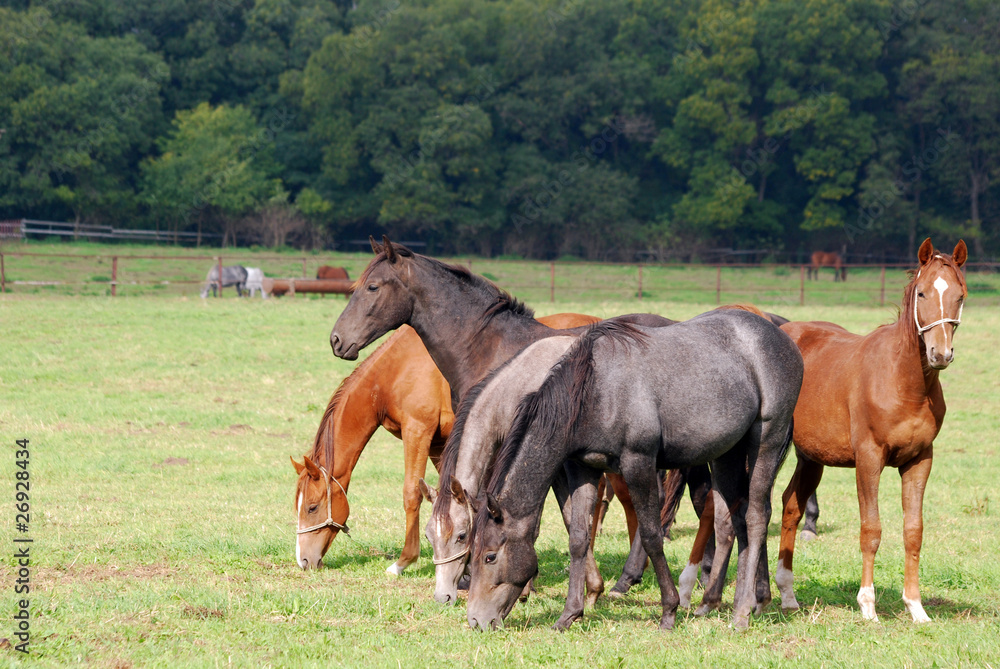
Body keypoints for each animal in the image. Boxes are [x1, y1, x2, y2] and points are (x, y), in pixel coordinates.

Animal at [466, 310, 804, 628]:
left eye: (490, 556)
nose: (476, 621)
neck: (595, 391)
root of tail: (782, 338)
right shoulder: (583, 469)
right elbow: (578, 538)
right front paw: (569, 614)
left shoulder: (637, 463)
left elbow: (652, 535)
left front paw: (669, 610)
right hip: (726, 455)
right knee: (734, 519)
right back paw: (728, 602)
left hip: (766, 443)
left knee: (757, 516)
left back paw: (742, 612)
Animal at [780, 239, 968, 620]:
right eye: (922, 293)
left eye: (959, 295)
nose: (940, 354)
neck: (904, 381)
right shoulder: (869, 459)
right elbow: (871, 530)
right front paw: (868, 606)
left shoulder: (919, 461)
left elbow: (913, 531)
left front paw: (916, 607)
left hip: (810, 459)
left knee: (790, 508)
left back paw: (787, 595)